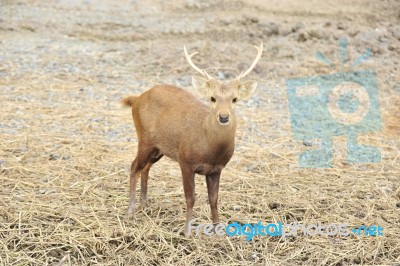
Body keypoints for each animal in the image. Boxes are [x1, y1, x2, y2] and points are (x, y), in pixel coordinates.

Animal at [122, 43, 266, 237]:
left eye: (234, 99)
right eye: (212, 98)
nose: (223, 117)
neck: (210, 149)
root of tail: (137, 98)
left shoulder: (216, 169)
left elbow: (213, 199)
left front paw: (218, 229)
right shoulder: (186, 162)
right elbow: (190, 198)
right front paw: (187, 231)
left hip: (159, 148)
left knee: (145, 168)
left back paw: (144, 203)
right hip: (144, 139)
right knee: (134, 167)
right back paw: (131, 211)